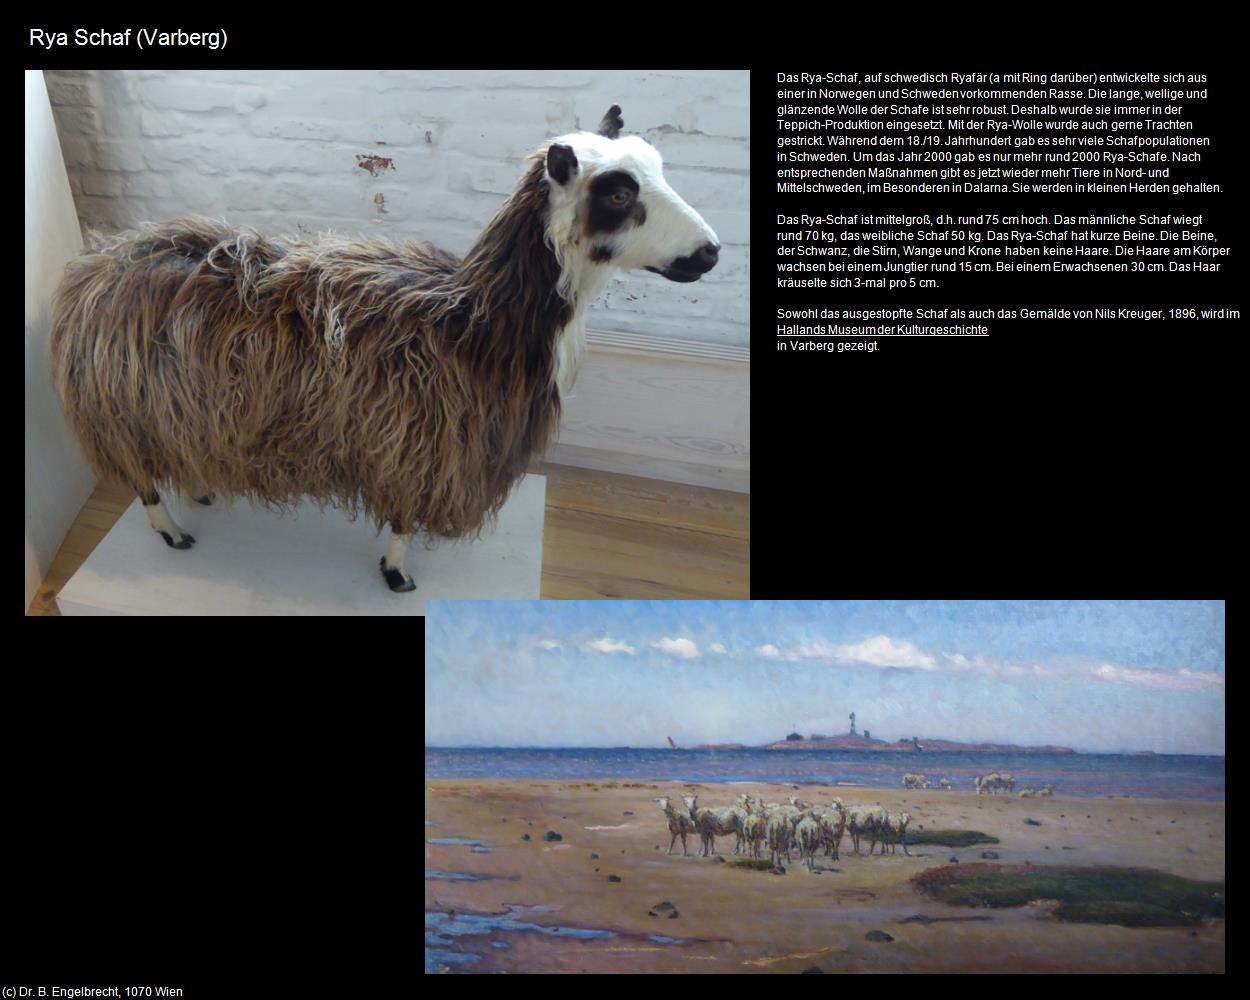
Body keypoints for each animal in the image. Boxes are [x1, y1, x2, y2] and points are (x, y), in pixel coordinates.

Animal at [49, 105, 720, 592]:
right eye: (616, 193)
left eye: (658, 169)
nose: (712, 252)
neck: (479, 321)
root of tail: (99, 258)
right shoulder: (413, 445)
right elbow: (400, 523)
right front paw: (397, 574)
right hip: (121, 412)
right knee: (143, 482)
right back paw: (172, 531)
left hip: (177, 406)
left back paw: (200, 488)